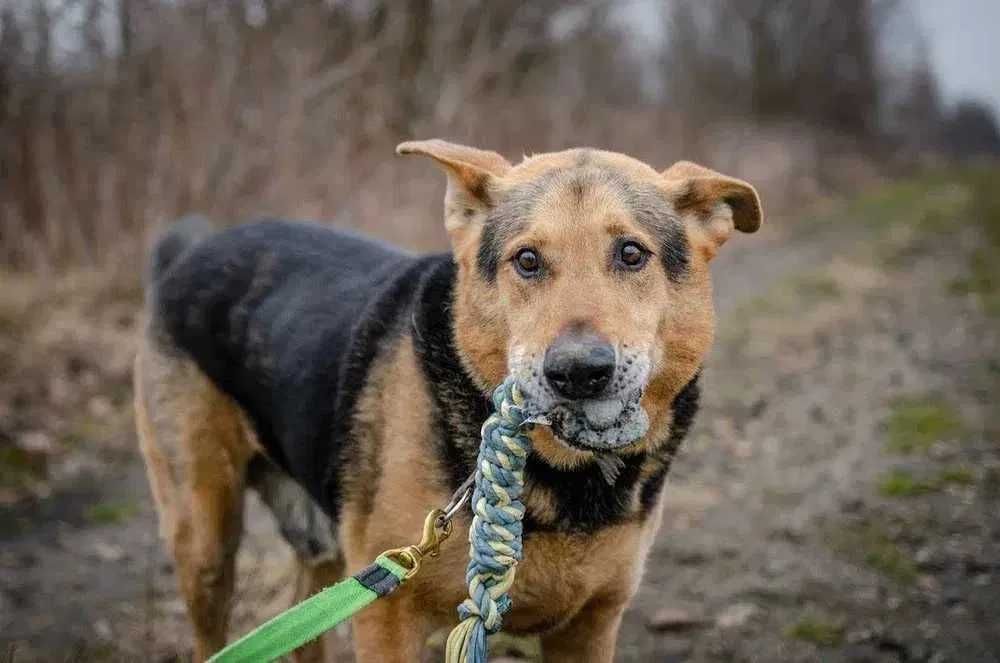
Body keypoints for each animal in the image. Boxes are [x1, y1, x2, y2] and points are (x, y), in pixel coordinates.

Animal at [133, 139, 756, 660]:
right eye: (527, 261)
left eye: (631, 254)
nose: (578, 373)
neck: (564, 476)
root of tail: (188, 252)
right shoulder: (388, 618)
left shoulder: (592, 625)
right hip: (204, 534)